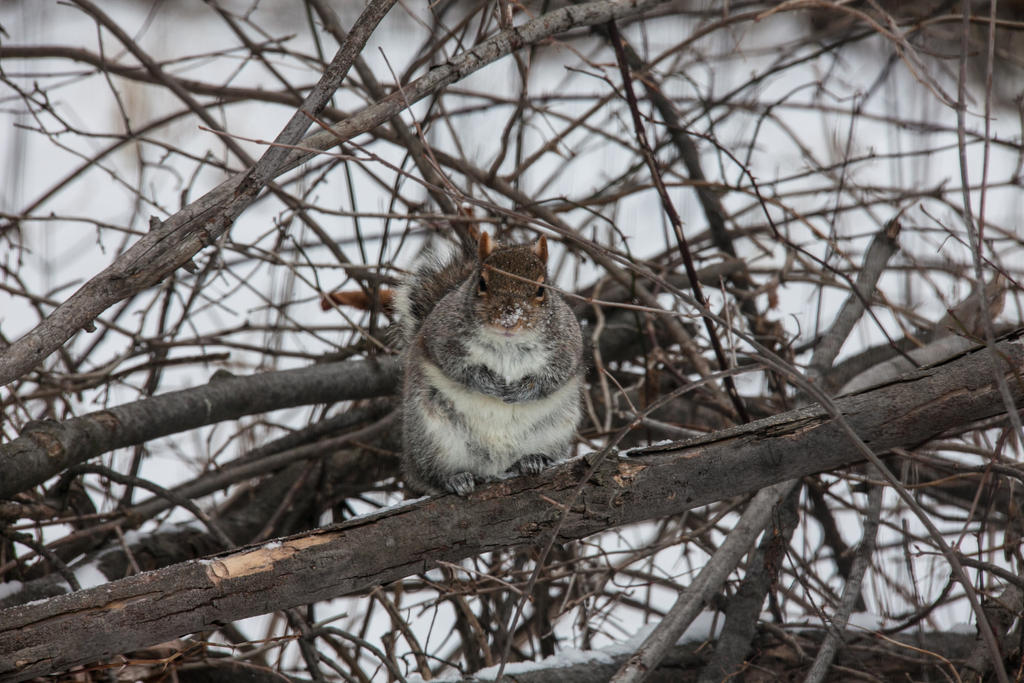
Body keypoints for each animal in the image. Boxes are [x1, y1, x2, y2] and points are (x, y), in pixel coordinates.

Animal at [391, 231, 585, 497]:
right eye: (482, 283)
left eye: (541, 289)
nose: (509, 317)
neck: (508, 344)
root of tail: (495, 467)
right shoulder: (442, 338)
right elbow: (458, 368)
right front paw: (489, 383)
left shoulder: (567, 348)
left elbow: (553, 377)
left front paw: (521, 390)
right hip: (432, 437)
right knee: (430, 475)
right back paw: (456, 479)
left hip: (554, 432)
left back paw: (532, 460)